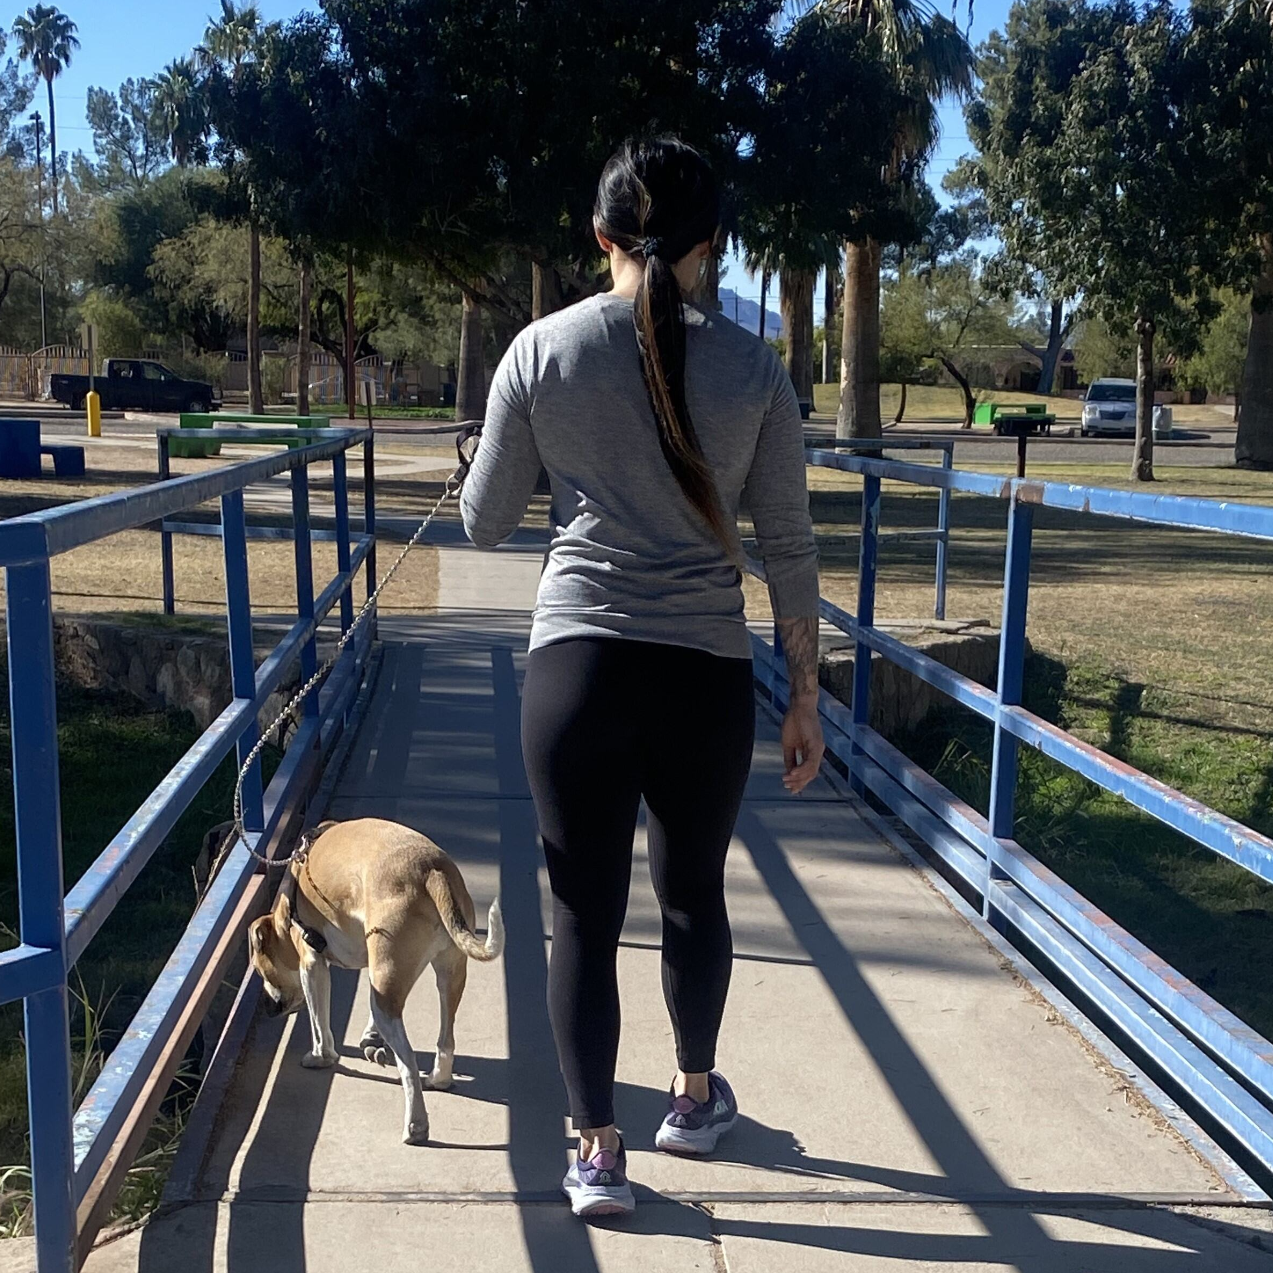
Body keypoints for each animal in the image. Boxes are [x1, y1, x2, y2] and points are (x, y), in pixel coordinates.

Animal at [247, 817, 504, 1145]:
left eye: (259, 970)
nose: (269, 1008)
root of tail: (431, 871)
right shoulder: (371, 967)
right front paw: (370, 1038)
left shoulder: (312, 965)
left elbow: (319, 1024)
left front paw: (321, 1056)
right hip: (447, 973)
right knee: (445, 1038)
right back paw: (438, 1078)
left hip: (390, 987)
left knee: (407, 1062)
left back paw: (416, 1125)